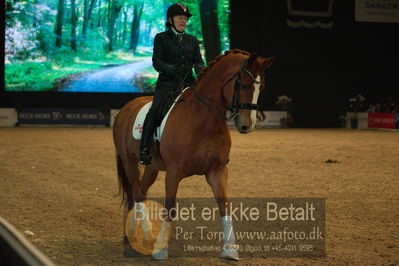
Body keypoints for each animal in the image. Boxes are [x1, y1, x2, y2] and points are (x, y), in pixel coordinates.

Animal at [112, 49, 276, 260]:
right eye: (245, 85)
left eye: (261, 87)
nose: (248, 125)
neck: (203, 119)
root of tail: (125, 109)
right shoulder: (174, 172)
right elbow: (170, 209)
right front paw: (160, 248)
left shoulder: (217, 171)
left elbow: (225, 207)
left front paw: (230, 250)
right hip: (129, 161)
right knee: (138, 194)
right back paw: (148, 238)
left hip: (151, 167)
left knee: (139, 191)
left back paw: (131, 234)